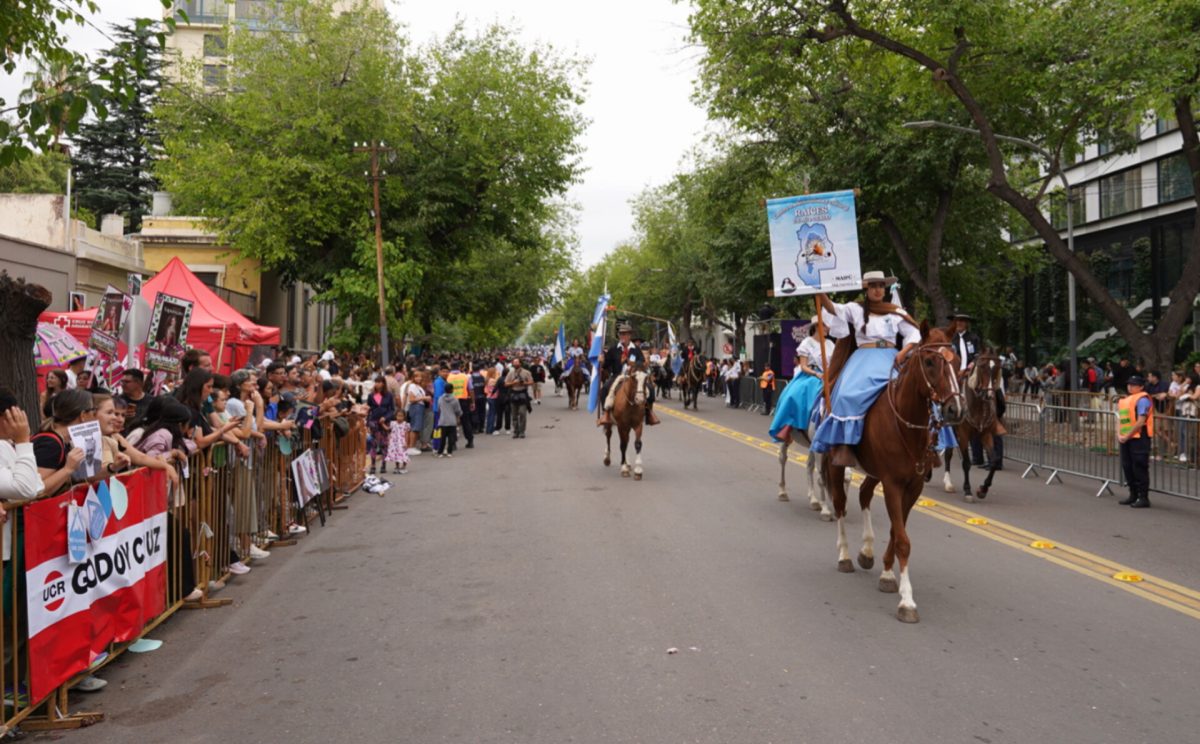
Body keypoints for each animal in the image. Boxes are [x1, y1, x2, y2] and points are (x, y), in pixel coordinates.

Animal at [821, 325, 965, 623]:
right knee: (840, 505)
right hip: (837, 465)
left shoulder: (913, 486)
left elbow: (897, 532)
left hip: (874, 472)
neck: (907, 424)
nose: (955, 409)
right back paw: (845, 556)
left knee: (864, 494)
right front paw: (907, 601)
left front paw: (887, 575)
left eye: (957, 362)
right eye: (930, 362)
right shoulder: (893, 484)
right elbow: (903, 541)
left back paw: (866, 550)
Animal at [942, 348, 1004, 502]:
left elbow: (994, 460)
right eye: (982, 367)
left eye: (996, 368)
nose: (989, 395)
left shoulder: (986, 435)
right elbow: (966, 463)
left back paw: (948, 483)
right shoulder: (963, 435)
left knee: (948, 453)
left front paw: (983, 489)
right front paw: (968, 490)